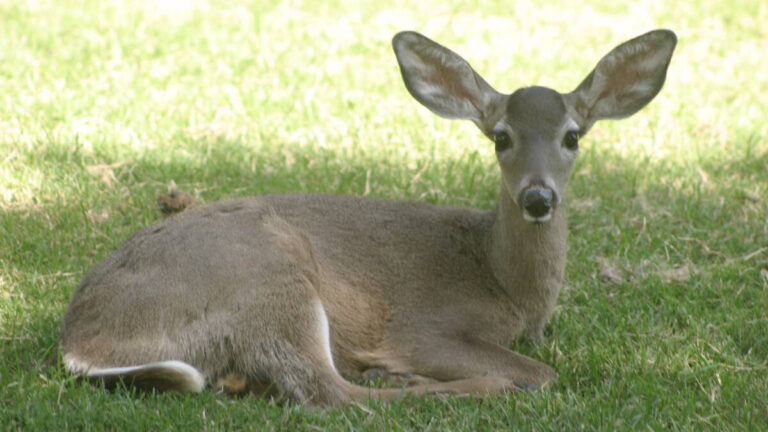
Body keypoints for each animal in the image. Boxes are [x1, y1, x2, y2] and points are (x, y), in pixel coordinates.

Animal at [61, 29, 680, 404]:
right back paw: (431, 378)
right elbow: (542, 372)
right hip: (267, 271)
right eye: (501, 136)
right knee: (328, 390)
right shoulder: (424, 324)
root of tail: (79, 343)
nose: (538, 197)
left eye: (573, 136)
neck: (505, 284)